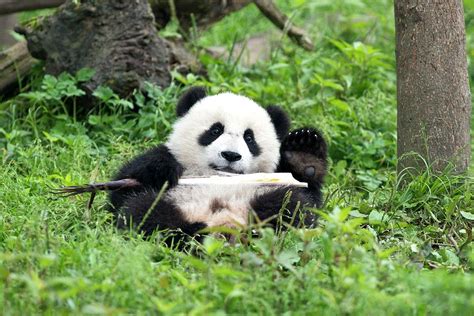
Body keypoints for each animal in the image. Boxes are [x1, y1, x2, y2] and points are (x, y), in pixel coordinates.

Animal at [109, 86, 328, 242]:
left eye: (249, 138)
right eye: (215, 130)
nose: (231, 155)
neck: (219, 176)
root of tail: (222, 224)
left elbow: (310, 199)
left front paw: (303, 153)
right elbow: (121, 193)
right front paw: (162, 170)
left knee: (288, 206)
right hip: (176, 204)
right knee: (144, 211)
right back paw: (191, 233)